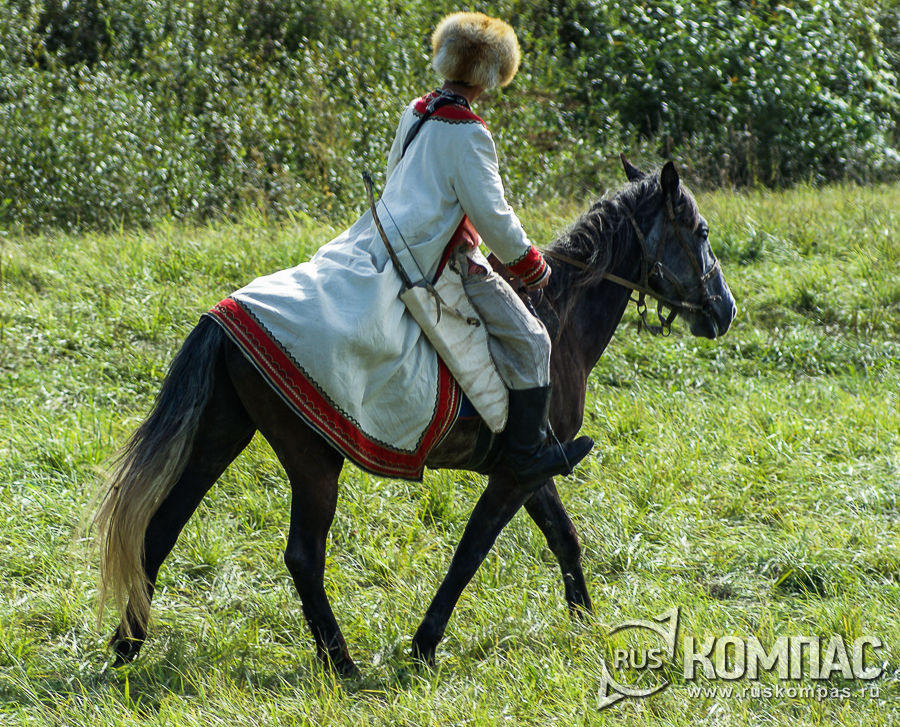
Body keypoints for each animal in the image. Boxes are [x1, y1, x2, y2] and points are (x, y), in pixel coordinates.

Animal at [95, 157, 736, 676]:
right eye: (701, 232)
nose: (724, 310)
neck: (559, 317)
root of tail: (225, 315)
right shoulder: (516, 472)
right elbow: (472, 550)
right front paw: (426, 644)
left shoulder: (535, 469)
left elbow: (564, 539)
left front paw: (584, 622)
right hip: (313, 461)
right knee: (302, 556)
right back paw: (341, 663)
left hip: (221, 437)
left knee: (162, 527)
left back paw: (128, 644)